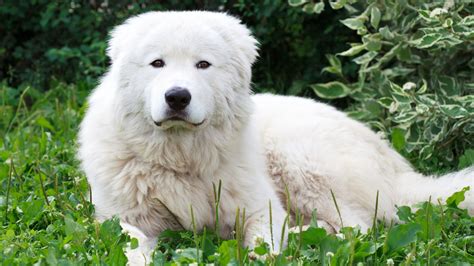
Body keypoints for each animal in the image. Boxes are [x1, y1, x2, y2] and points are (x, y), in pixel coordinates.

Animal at [78, 10, 474, 264]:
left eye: (202, 65)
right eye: (157, 63)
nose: (177, 97)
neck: (180, 157)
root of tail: (395, 165)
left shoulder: (258, 208)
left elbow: (264, 240)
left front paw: (258, 253)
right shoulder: (123, 220)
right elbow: (132, 248)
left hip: (299, 159)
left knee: (355, 228)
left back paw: (302, 239)